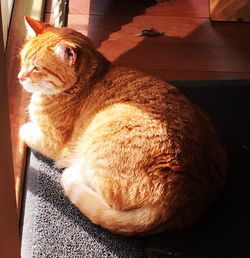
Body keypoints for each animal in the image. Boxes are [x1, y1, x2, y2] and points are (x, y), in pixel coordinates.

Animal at [18, 16, 228, 236]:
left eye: (36, 68)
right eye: (22, 61)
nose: (20, 77)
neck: (88, 82)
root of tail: (182, 198)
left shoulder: (51, 142)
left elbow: (23, 129)